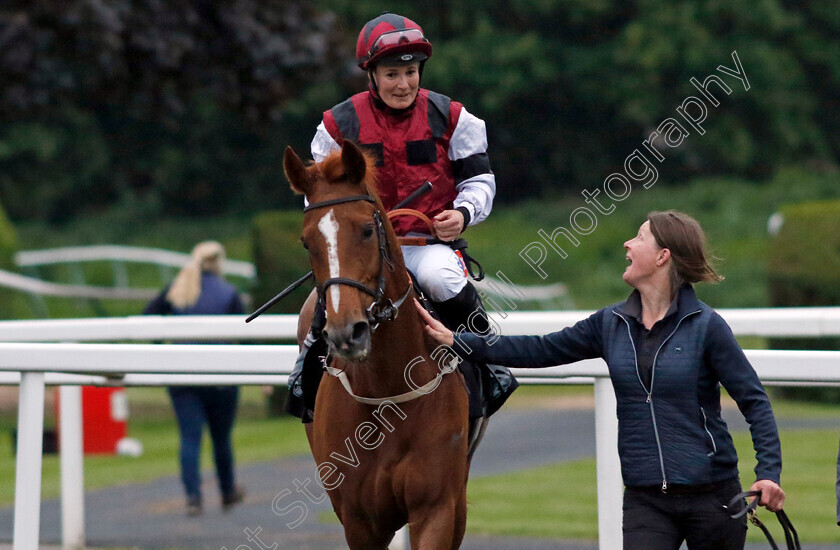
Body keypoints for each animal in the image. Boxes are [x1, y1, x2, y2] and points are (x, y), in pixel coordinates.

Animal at [288, 140, 472, 548]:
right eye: (306, 241)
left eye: (366, 231)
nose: (346, 332)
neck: (388, 389)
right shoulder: (359, 520)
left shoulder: (437, 507)